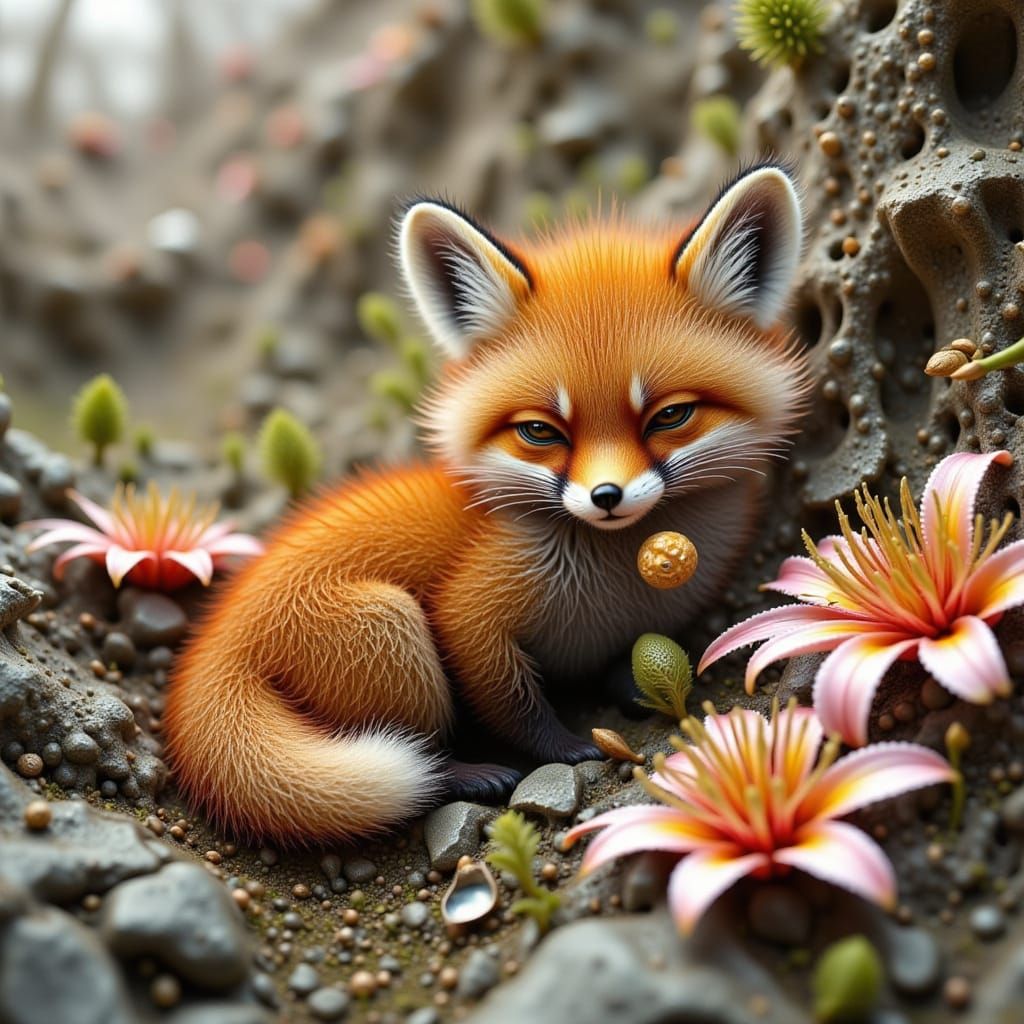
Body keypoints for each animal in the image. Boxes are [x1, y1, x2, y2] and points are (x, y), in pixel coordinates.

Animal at [164, 164, 810, 844]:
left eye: (670, 416)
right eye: (540, 431)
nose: (606, 496)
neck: (618, 585)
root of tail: (209, 648)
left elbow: (631, 667)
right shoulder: (470, 615)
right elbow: (514, 704)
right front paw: (565, 749)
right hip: (391, 630)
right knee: (414, 748)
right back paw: (464, 775)